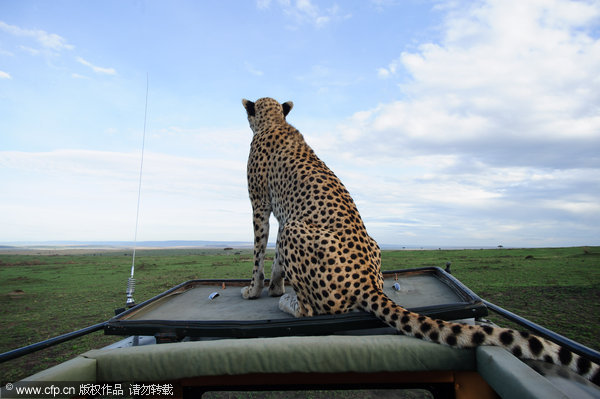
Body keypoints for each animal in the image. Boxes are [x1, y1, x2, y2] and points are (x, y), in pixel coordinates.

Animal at [240, 95, 600, 386]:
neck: (275, 121)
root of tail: (369, 283)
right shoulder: (278, 211)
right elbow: (274, 258)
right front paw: (274, 286)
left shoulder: (261, 205)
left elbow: (259, 251)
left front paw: (256, 291)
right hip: (355, 240)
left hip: (296, 231)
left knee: (315, 310)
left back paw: (290, 304)